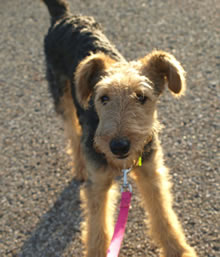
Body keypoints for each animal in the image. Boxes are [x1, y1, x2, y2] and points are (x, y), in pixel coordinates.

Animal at [40, 1, 198, 255]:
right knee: (73, 134)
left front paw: (179, 250)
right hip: (62, 96)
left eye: (141, 97)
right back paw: (80, 167)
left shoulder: (151, 172)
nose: (119, 146)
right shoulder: (98, 184)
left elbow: (164, 216)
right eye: (103, 98)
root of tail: (63, 16)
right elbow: (98, 230)